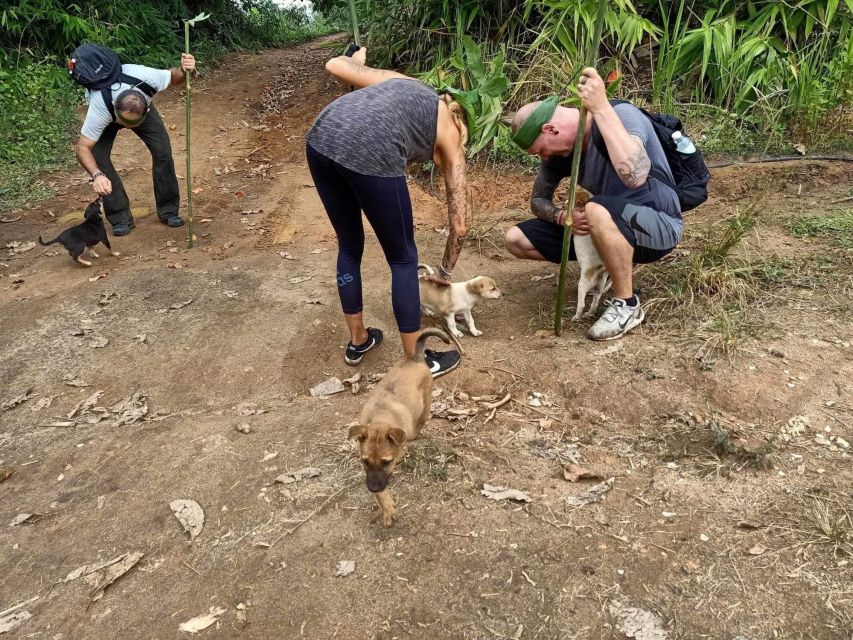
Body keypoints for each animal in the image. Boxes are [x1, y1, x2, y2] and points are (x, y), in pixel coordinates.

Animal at [346, 328, 452, 528]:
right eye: (365, 461)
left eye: (386, 462)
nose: (372, 488)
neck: (381, 416)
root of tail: (415, 358)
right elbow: (382, 495)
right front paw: (387, 508)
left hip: (426, 401)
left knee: (420, 421)